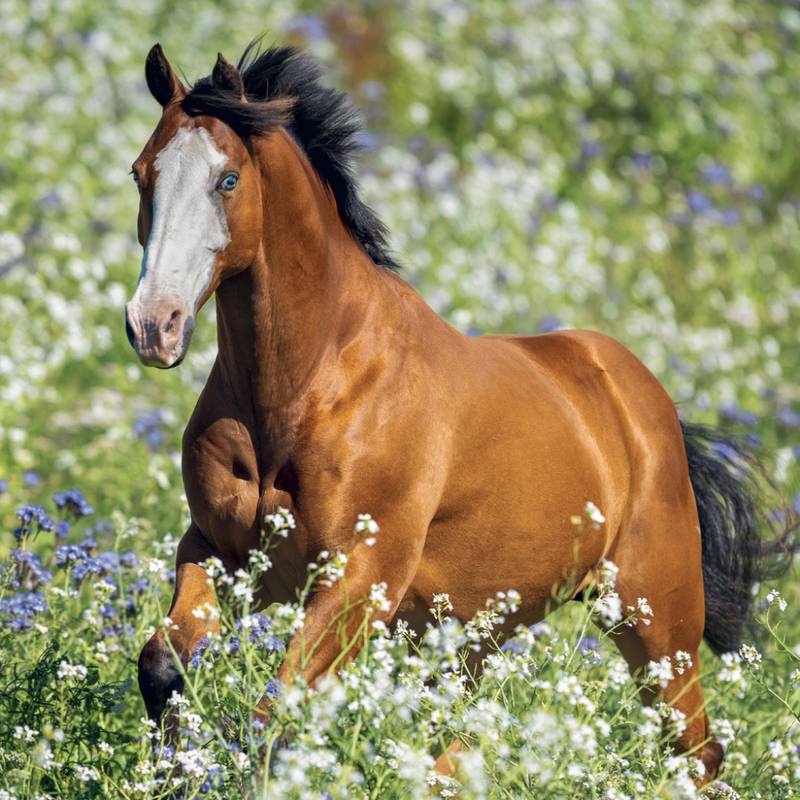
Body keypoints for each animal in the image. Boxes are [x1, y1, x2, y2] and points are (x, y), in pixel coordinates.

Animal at [126, 41, 794, 783]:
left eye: (228, 180)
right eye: (141, 174)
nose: (154, 325)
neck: (306, 390)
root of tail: (648, 403)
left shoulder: (360, 580)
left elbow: (278, 710)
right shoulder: (221, 551)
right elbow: (163, 665)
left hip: (655, 619)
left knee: (696, 749)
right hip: (473, 632)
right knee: (459, 741)